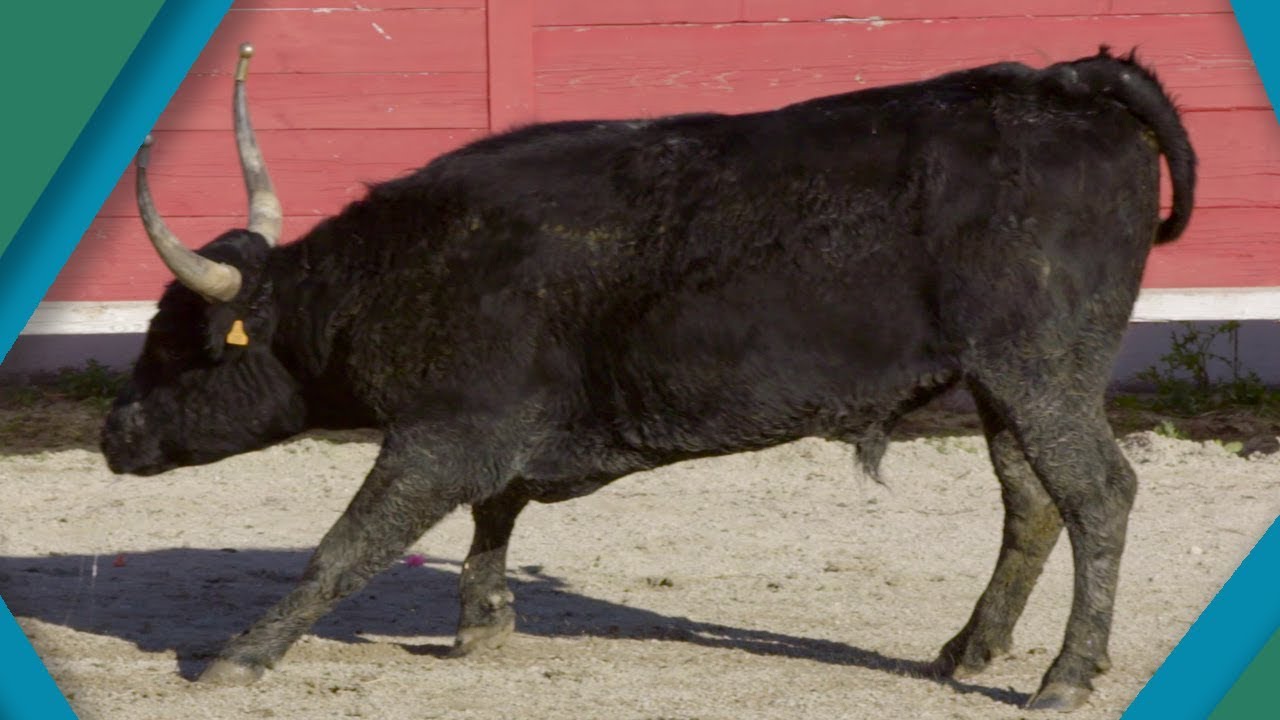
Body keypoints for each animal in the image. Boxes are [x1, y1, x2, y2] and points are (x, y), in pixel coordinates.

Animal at [100, 43, 1195, 711]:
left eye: (182, 341)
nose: (115, 434)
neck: (401, 269)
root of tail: (1067, 82)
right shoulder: (492, 430)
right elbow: (495, 514)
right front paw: (483, 624)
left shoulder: (441, 432)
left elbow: (346, 546)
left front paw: (239, 656)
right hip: (1005, 383)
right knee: (1031, 501)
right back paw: (966, 651)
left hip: (1038, 367)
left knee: (1098, 493)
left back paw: (1064, 676)